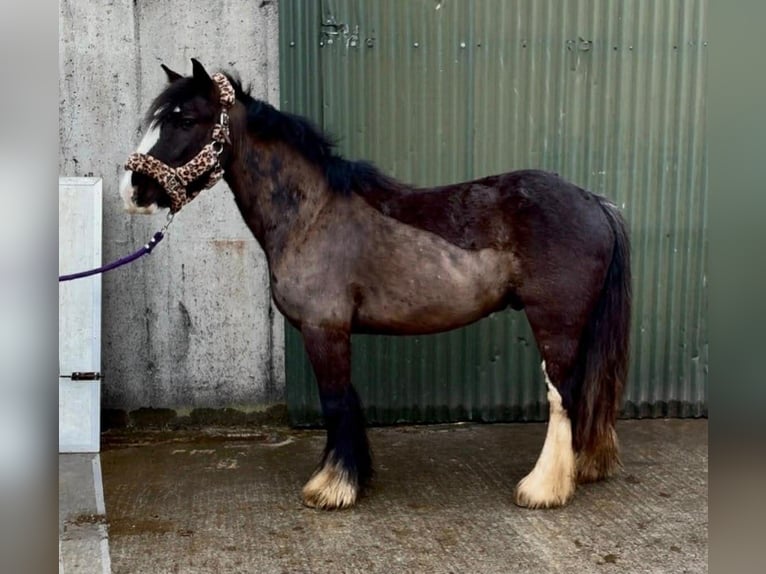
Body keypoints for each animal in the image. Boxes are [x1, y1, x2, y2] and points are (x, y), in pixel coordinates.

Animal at [120, 59, 631, 511]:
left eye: (185, 119)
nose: (132, 190)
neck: (311, 213)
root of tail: (593, 201)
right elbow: (347, 401)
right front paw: (352, 478)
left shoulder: (324, 330)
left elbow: (335, 403)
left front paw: (332, 488)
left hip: (555, 325)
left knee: (562, 395)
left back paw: (543, 489)